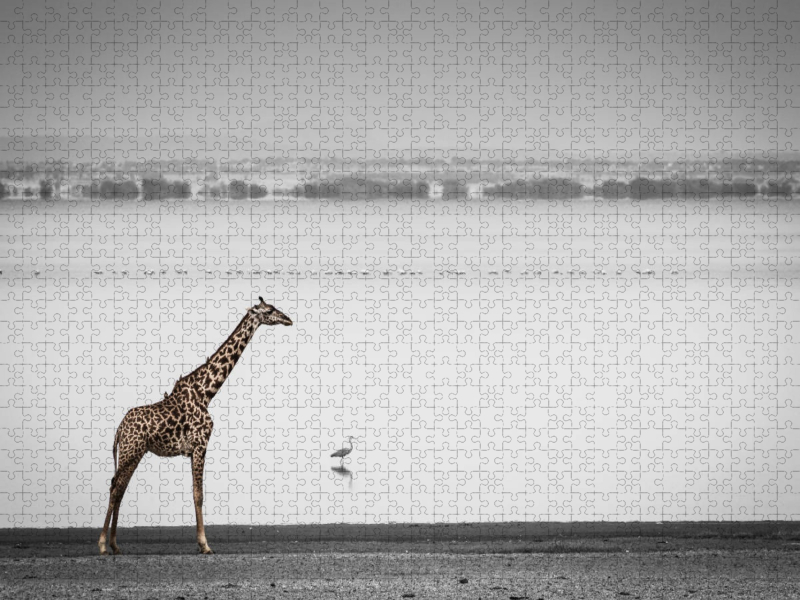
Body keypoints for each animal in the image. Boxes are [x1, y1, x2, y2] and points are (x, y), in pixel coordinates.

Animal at [98, 297, 293, 555]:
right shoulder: (200, 444)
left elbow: (195, 492)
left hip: (135, 452)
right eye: (270, 310)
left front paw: (202, 543)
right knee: (114, 486)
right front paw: (205, 545)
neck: (206, 392)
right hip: (131, 450)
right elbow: (198, 494)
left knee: (120, 488)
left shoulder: (193, 449)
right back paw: (102, 545)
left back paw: (115, 545)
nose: (288, 319)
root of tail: (120, 429)